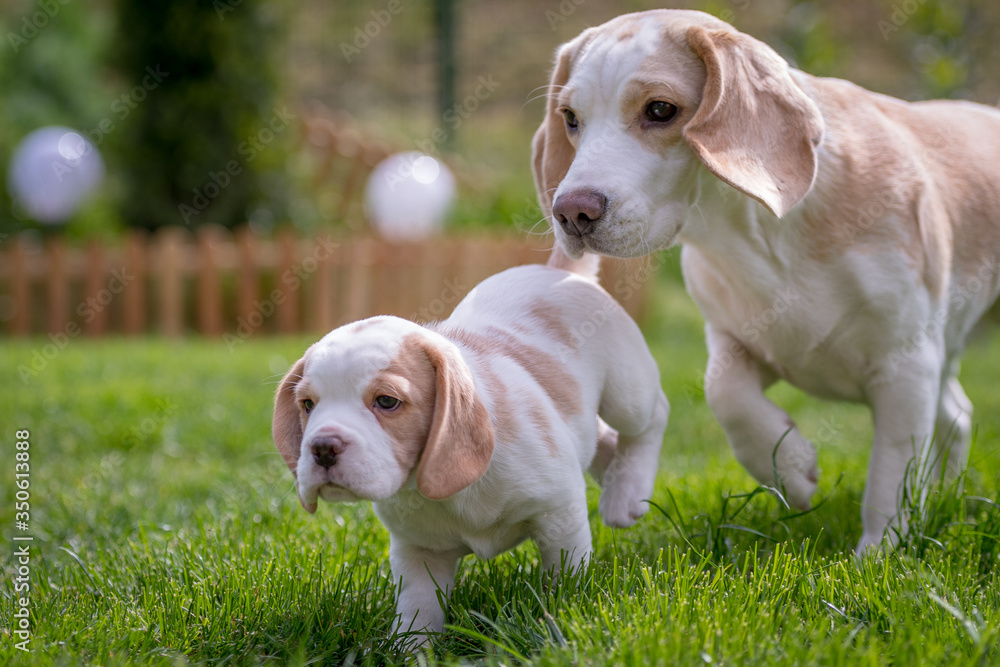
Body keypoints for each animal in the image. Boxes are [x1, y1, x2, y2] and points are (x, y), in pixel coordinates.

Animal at [270, 254, 668, 640]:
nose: (322, 448)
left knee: (651, 418)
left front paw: (561, 618)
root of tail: (557, 268)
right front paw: (411, 651)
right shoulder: (418, 552)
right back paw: (622, 489)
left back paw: (626, 495)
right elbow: (417, 613)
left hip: (627, 392)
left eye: (386, 401)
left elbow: (565, 577)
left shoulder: (560, 514)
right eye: (308, 405)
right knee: (605, 442)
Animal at [536, 9, 1000, 552]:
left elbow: (891, 469)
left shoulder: (906, 363)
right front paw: (791, 470)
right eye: (571, 119)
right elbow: (725, 393)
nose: (571, 212)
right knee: (957, 415)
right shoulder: (735, 337)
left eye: (660, 110)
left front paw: (879, 552)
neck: (754, 233)